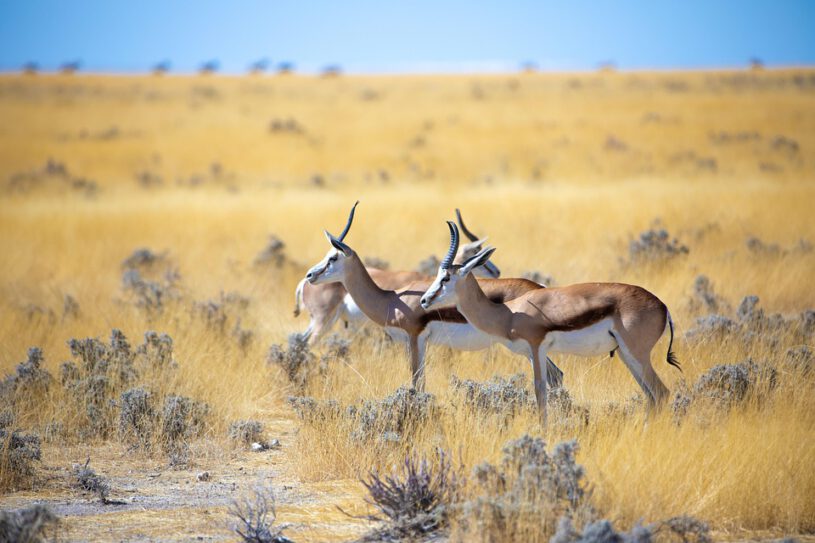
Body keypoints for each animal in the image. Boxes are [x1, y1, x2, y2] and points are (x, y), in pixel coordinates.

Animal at [420, 222, 680, 424]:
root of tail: (663, 306)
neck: (509, 313)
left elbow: (540, 390)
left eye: (446, 278)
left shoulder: (537, 348)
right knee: (652, 396)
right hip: (627, 355)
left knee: (661, 393)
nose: (424, 300)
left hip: (637, 354)